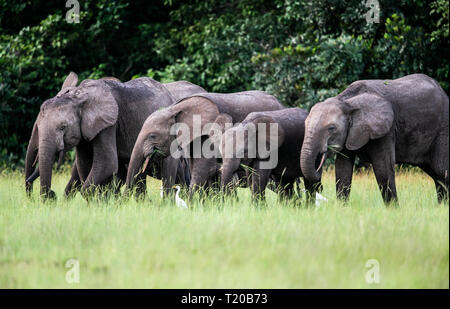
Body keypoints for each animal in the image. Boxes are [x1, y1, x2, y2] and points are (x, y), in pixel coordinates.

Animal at [25, 72, 206, 197]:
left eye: (63, 127)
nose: (51, 196)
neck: (79, 96)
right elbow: (85, 164)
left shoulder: (109, 125)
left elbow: (107, 163)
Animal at [300, 74, 448, 205]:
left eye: (331, 128)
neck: (347, 102)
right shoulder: (350, 133)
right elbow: (342, 169)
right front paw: (342, 208)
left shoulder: (385, 130)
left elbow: (383, 168)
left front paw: (393, 209)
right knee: (436, 175)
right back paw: (442, 206)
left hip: (443, 129)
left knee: (441, 170)